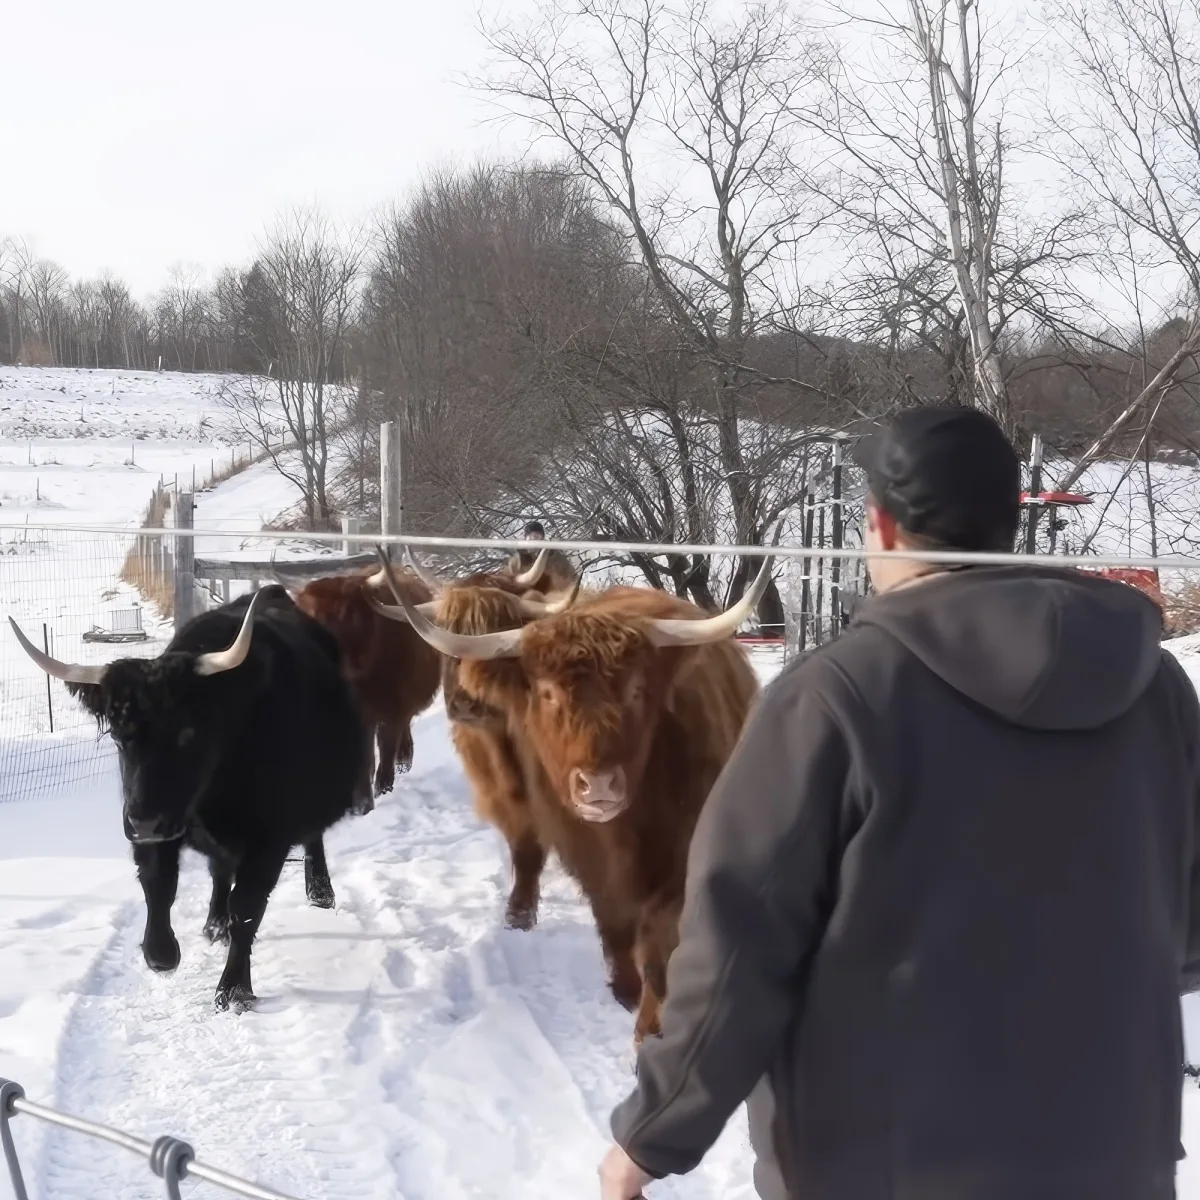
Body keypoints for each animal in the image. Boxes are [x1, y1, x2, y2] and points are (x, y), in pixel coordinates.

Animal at [9, 584, 371, 1013]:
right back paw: (214, 924)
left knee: (310, 840)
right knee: (220, 870)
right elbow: (159, 883)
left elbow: (248, 906)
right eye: (118, 734)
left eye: (187, 733)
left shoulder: (269, 837)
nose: (145, 822)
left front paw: (234, 989)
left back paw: (319, 892)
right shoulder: (151, 822)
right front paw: (161, 953)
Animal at [290, 560, 442, 800]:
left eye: (348, 614)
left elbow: (385, 753)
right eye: (311, 615)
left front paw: (382, 790)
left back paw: (403, 760)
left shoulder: (392, 711)